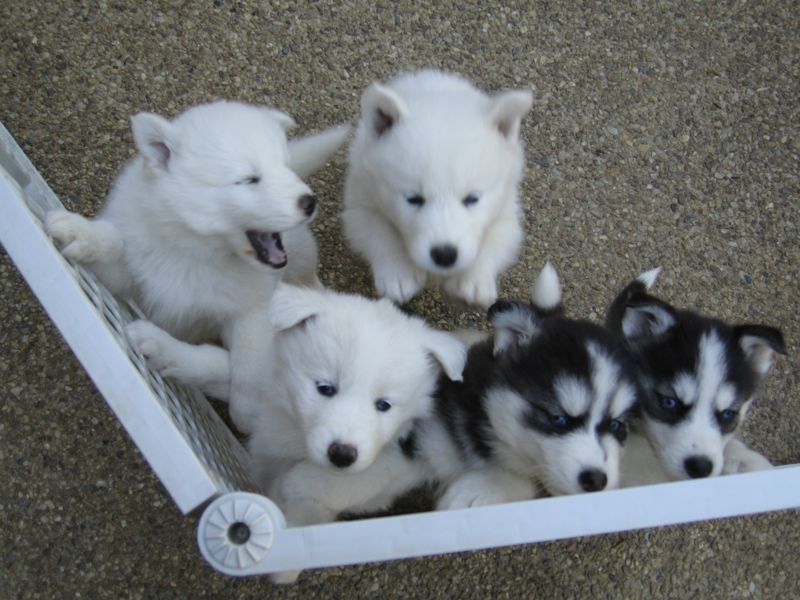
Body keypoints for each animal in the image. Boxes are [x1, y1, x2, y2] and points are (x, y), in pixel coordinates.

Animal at [46, 101, 346, 432]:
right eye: (248, 179)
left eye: (286, 166)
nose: (309, 201)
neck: (199, 251)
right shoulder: (134, 275)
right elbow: (115, 249)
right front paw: (80, 232)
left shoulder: (253, 310)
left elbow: (249, 363)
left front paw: (248, 412)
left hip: (302, 252)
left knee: (306, 275)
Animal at [342, 71, 532, 308]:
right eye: (413, 198)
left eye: (472, 199)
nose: (445, 255)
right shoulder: (361, 197)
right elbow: (377, 230)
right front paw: (398, 273)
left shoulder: (506, 208)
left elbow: (497, 240)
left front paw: (472, 281)